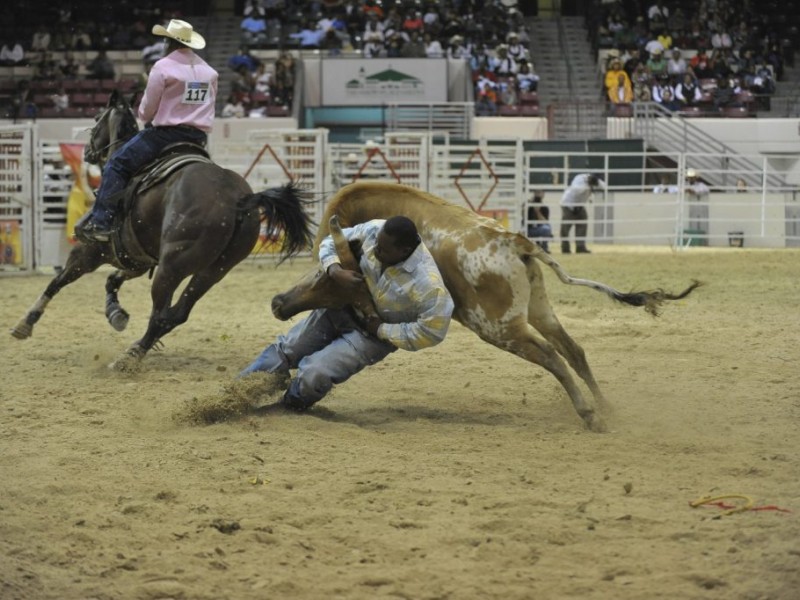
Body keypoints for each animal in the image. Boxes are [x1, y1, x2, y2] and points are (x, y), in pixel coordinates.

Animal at [13, 90, 312, 370]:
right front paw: (116, 314)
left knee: (160, 314)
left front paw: (25, 323)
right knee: (176, 314)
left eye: (97, 118)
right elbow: (112, 280)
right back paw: (137, 348)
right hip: (214, 270)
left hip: (172, 267)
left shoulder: (90, 251)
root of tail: (239, 199)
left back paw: (129, 357)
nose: (87, 151)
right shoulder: (137, 260)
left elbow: (58, 281)